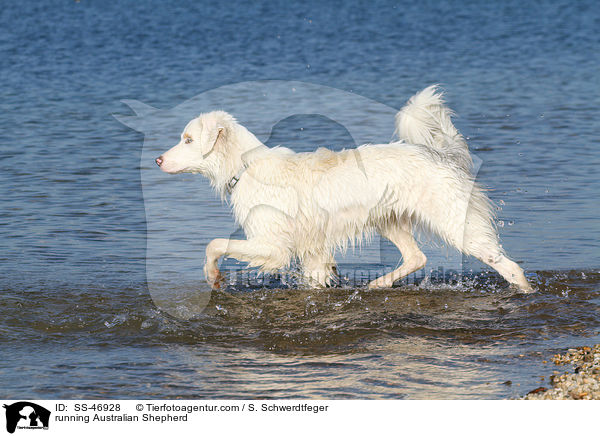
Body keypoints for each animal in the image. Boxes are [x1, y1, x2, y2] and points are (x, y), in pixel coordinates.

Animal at [157, 84, 532, 292]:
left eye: (188, 139)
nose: (158, 159)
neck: (244, 167)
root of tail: (440, 155)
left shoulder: (272, 245)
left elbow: (214, 244)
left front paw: (213, 277)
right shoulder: (313, 254)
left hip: (456, 225)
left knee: (511, 267)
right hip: (388, 220)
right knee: (416, 257)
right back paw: (378, 284)